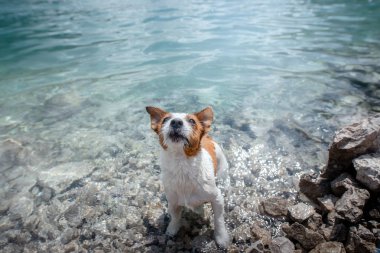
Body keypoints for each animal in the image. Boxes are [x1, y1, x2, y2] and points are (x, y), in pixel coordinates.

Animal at [145, 106, 229, 247]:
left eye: (192, 121)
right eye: (165, 119)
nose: (176, 122)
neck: (182, 165)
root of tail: (207, 137)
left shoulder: (216, 198)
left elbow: (218, 219)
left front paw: (221, 237)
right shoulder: (173, 202)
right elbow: (175, 217)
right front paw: (172, 229)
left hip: (222, 168)